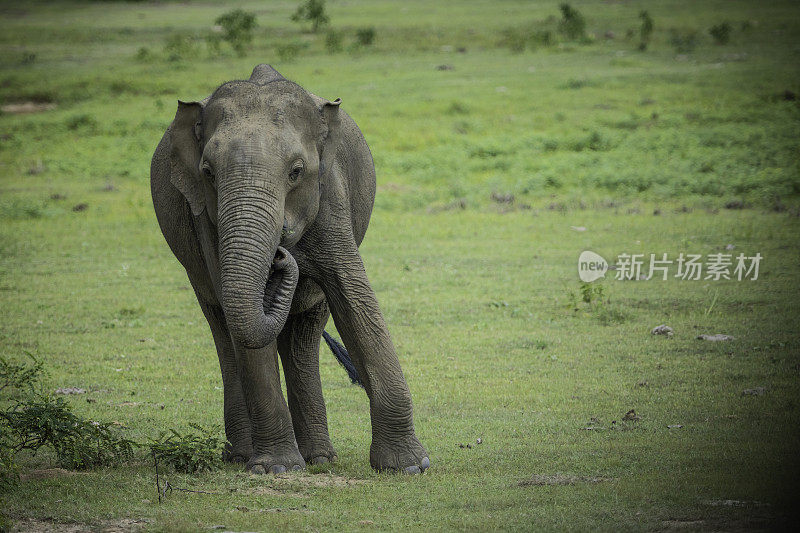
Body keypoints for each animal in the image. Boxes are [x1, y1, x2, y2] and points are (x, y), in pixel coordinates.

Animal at [148, 63, 428, 474]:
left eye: (296, 171)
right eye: (208, 172)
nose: (281, 254)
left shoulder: (331, 195)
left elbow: (354, 296)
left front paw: (409, 467)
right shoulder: (205, 218)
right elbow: (243, 322)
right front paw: (275, 468)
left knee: (304, 334)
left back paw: (319, 458)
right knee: (224, 330)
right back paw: (244, 456)